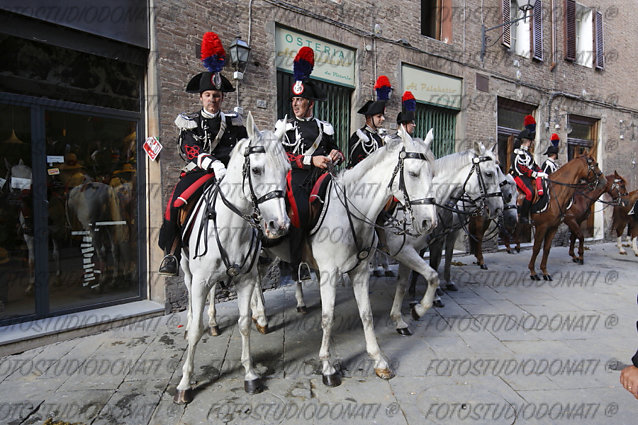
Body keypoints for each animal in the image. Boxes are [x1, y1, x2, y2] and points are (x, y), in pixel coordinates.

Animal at [178, 112, 292, 400]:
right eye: (257, 169)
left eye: (287, 170)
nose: (279, 225)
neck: (230, 227)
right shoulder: (199, 280)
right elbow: (195, 331)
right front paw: (185, 383)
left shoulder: (246, 281)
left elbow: (244, 324)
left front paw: (250, 374)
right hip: (185, 268)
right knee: (191, 296)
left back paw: (213, 322)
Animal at [262, 127, 440, 386]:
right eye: (414, 173)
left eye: (433, 174)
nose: (430, 222)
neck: (352, 212)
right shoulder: (330, 273)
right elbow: (327, 317)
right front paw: (327, 367)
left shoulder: (362, 270)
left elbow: (367, 313)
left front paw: (379, 360)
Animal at [380, 142, 504, 334]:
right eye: (489, 173)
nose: (499, 208)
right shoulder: (409, 248)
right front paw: (416, 302)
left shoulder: (434, 242)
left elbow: (429, 267)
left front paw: (428, 299)